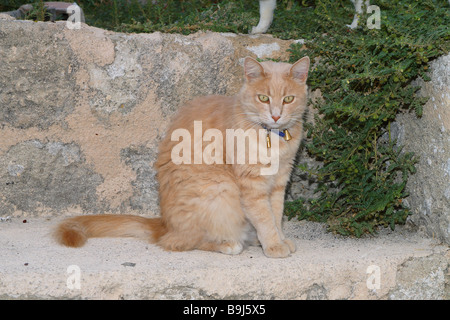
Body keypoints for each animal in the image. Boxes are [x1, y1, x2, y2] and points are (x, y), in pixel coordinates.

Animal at [53, 56, 310, 258]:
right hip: (220, 190)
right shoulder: (252, 185)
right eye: (263, 98)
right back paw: (229, 244)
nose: (276, 116)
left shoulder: (279, 181)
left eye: (288, 99)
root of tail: (164, 225)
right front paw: (274, 245)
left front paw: (279, 239)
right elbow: (265, 218)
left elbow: (276, 214)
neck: (273, 137)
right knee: (181, 242)